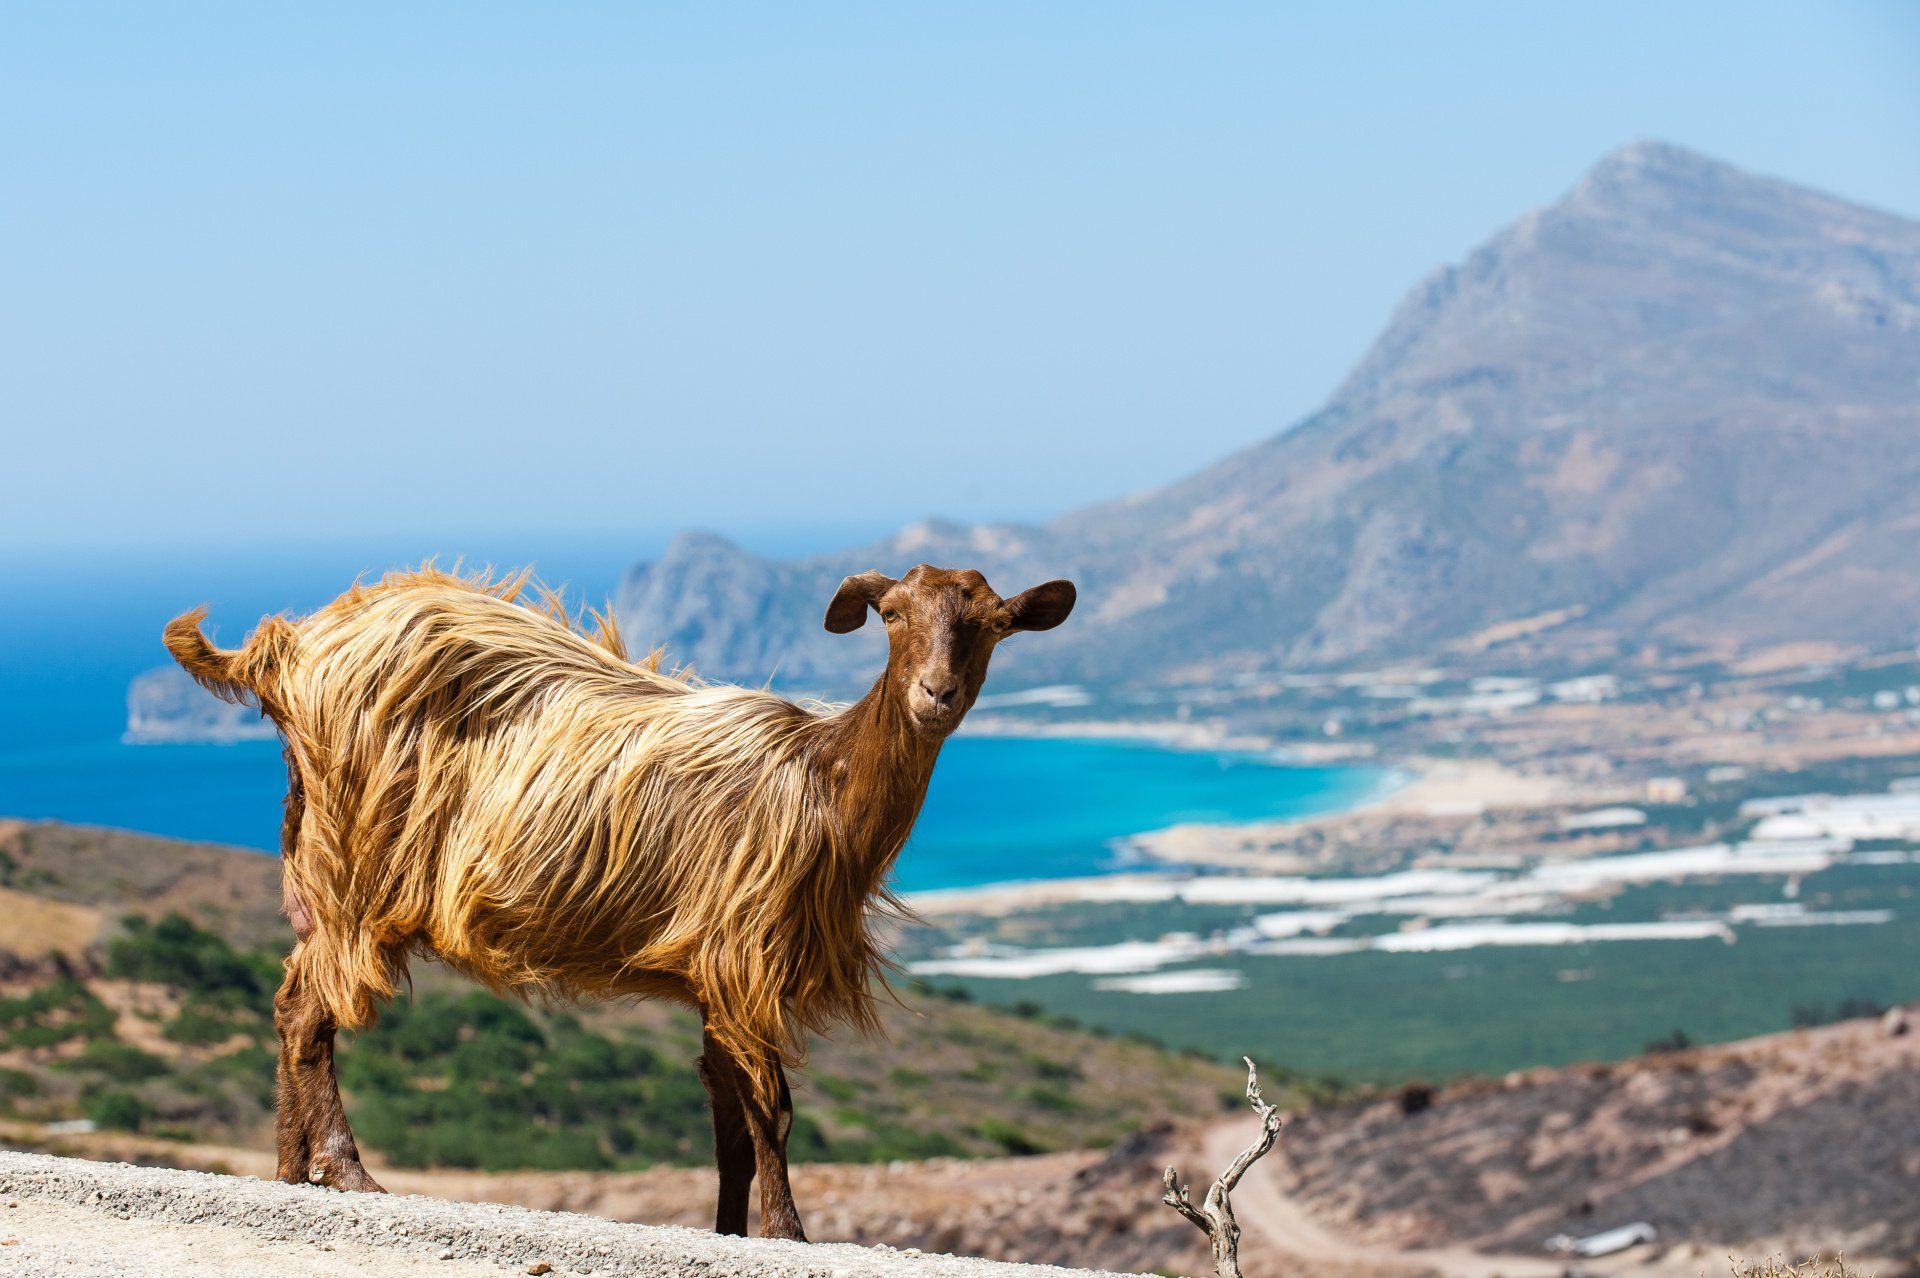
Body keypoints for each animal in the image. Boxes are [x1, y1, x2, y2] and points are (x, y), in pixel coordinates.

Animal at [163, 562, 1075, 1240]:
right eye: (889, 614)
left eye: (995, 624)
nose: (935, 695)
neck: (823, 780)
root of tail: (289, 651)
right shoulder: (742, 959)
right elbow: (771, 1112)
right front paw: (790, 1232)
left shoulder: (713, 974)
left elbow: (729, 1122)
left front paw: (731, 1232)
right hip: (358, 865)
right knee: (313, 1013)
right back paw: (348, 1171)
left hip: (318, 863)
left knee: (290, 1003)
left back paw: (291, 1175)